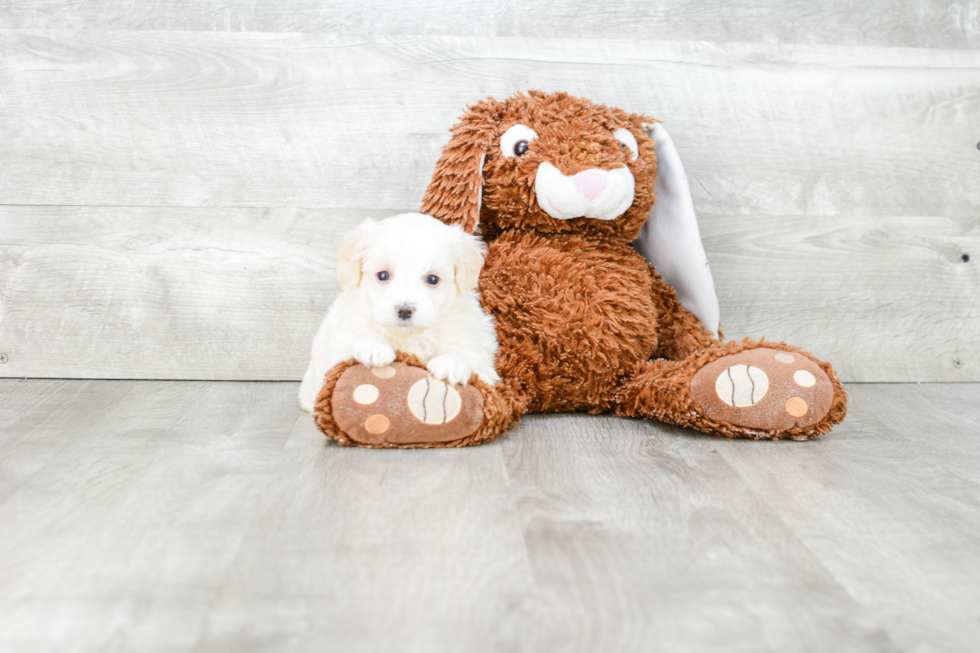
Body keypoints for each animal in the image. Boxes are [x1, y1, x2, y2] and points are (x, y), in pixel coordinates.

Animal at [296, 211, 498, 410]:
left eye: (432, 279)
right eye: (383, 275)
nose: (405, 310)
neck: (408, 337)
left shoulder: (476, 349)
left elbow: (469, 355)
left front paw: (451, 363)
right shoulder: (339, 340)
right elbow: (354, 338)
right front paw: (374, 347)